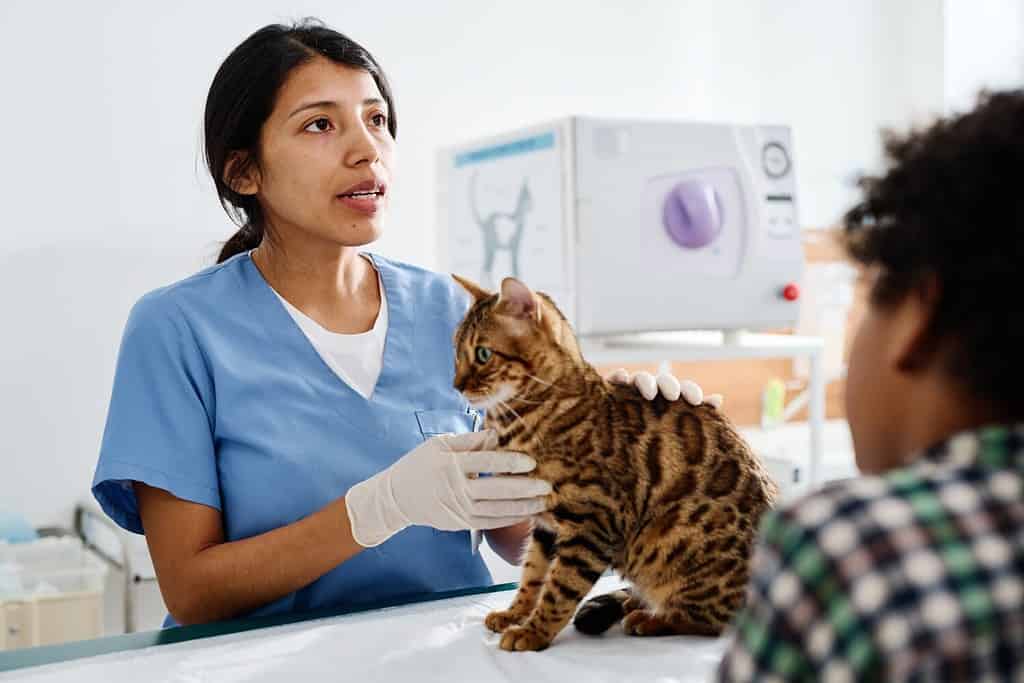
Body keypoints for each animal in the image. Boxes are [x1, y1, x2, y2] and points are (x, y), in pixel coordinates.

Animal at [452, 274, 778, 655]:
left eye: (483, 354)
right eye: (456, 353)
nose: (456, 385)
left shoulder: (592, 523)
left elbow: (559, 589)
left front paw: (533, 632)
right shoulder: (545, 522)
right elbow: (532, 574)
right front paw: (514, 613)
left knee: (715, 620)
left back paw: (650, 618)